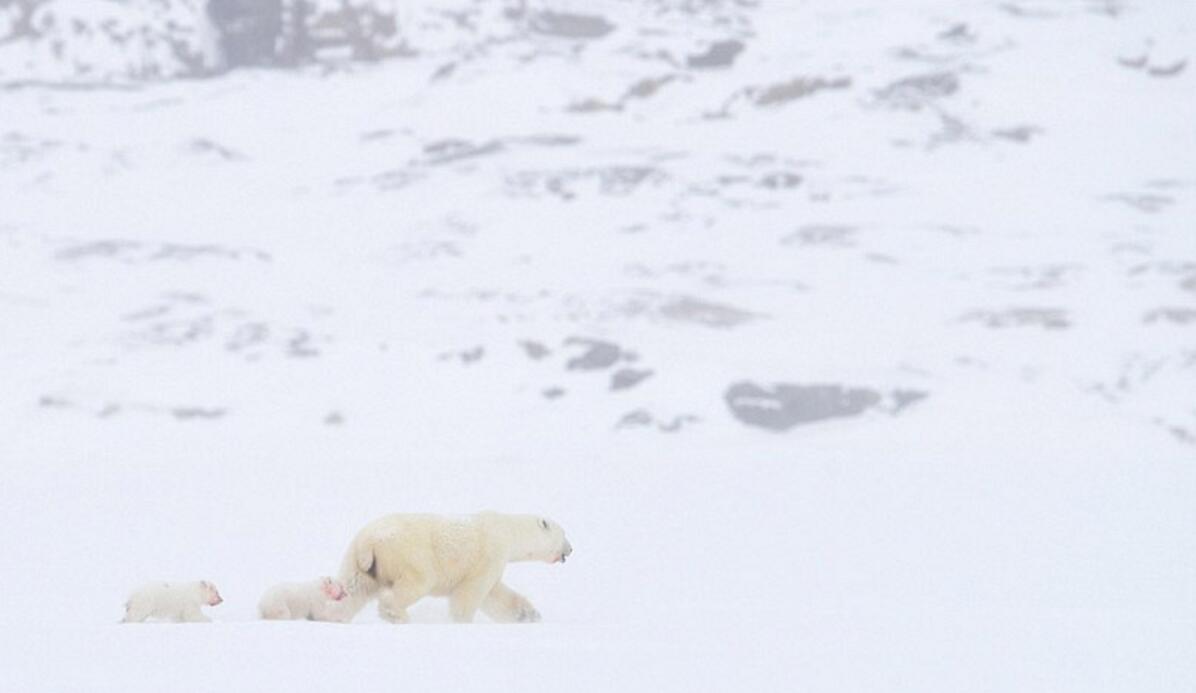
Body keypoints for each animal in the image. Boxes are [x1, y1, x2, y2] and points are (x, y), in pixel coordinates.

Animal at [337, 512, 574, 627]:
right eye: (564, 534)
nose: (571, 549)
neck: (508, 530)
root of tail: (369, 542)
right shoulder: (489, 555)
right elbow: (471, 593)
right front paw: (462, 623)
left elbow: (495, 595)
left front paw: (527, 615)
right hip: (409, 554)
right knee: (418, 582)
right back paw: (397, 615)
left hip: (359, 561)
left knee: (352, 590)